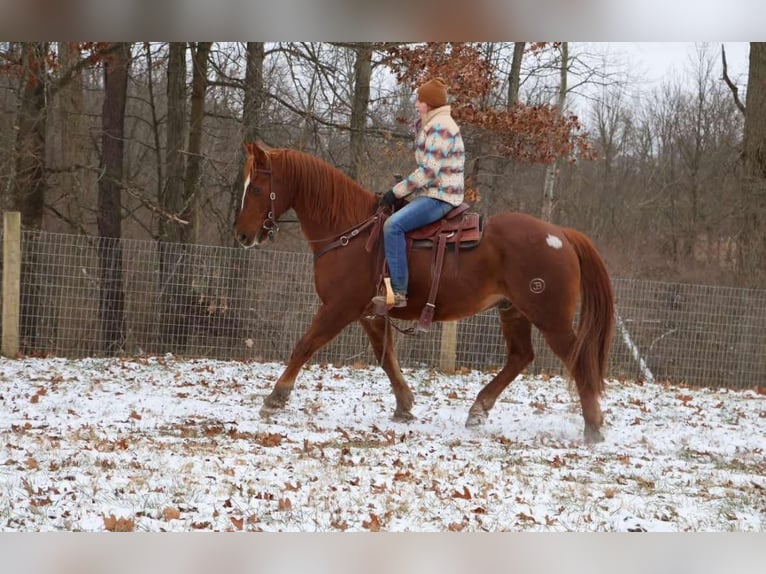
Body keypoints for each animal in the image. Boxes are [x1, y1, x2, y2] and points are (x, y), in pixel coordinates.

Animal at [234, 142, 616, 444]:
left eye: (256, 189)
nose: (241, 235)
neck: (351, 232)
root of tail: (560, 234)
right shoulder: (370, 313)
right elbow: (387, 358)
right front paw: (404, 406)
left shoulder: (338, 308)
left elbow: (305, 345)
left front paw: (275, 397)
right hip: (513, 311)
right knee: (521, 356)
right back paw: (479, 409)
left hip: (550, 318)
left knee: (578, 358)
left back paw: (593, 427)